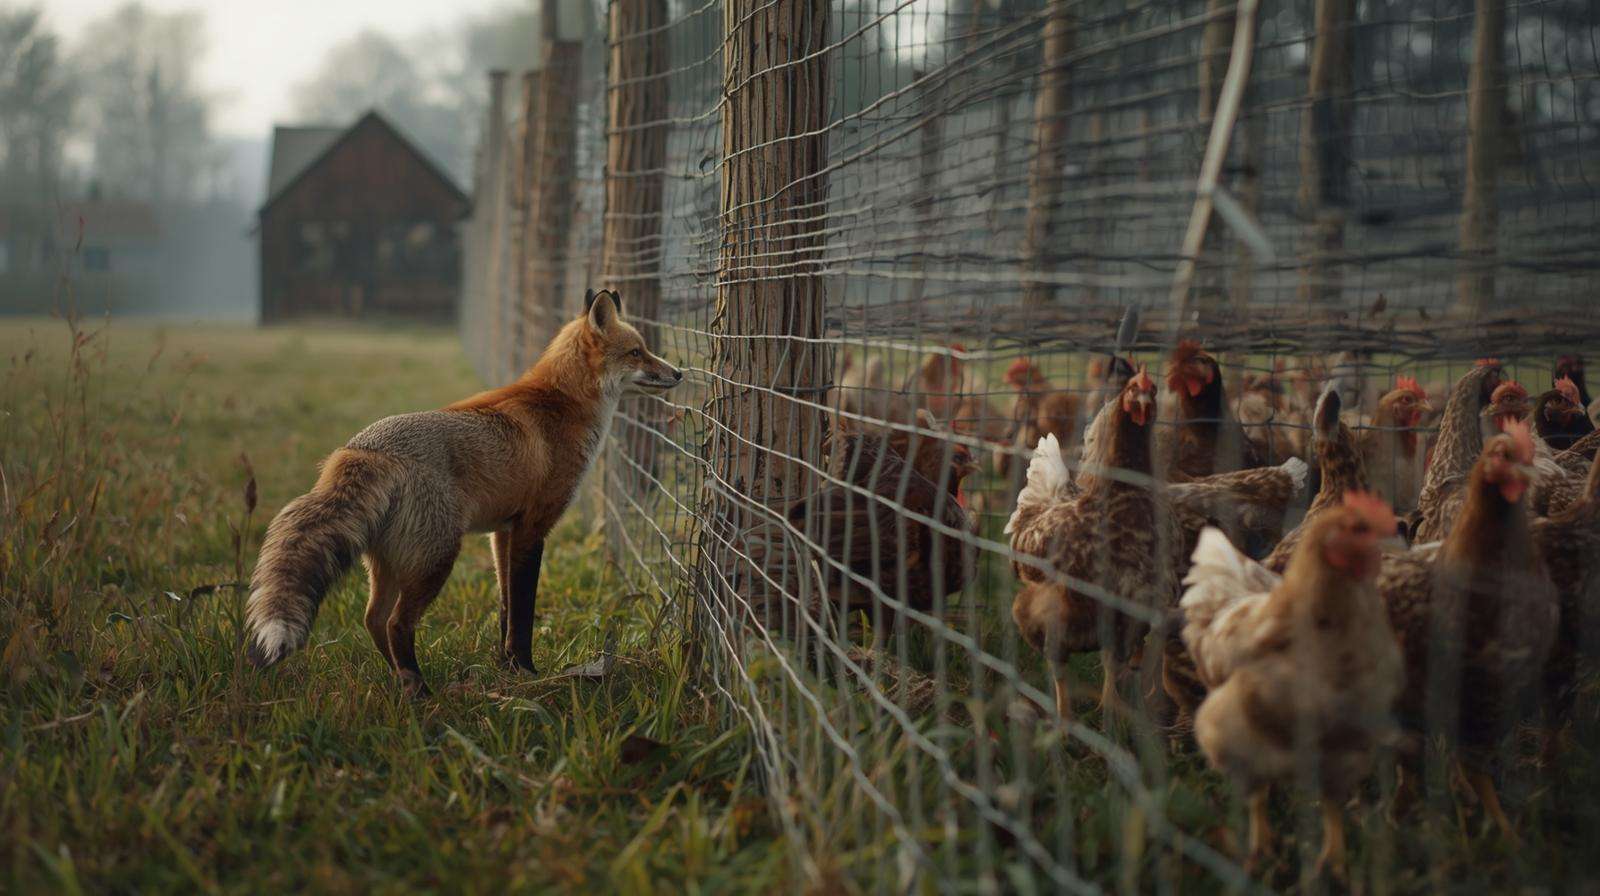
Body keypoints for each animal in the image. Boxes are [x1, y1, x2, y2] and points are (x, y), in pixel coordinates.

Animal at [243, 288, 681, 695]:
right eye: (637, 352)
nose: (678, 373)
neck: (560, 403)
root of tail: (362, 449)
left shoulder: (502, 531)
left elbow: (505, 606)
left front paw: (505, 666)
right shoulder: (533, 527)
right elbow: (523, 611)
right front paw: (527, 671)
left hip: (393, 561)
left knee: (372, 619)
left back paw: (399, 679)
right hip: (436, 557)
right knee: (397, 623)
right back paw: (421, 692)